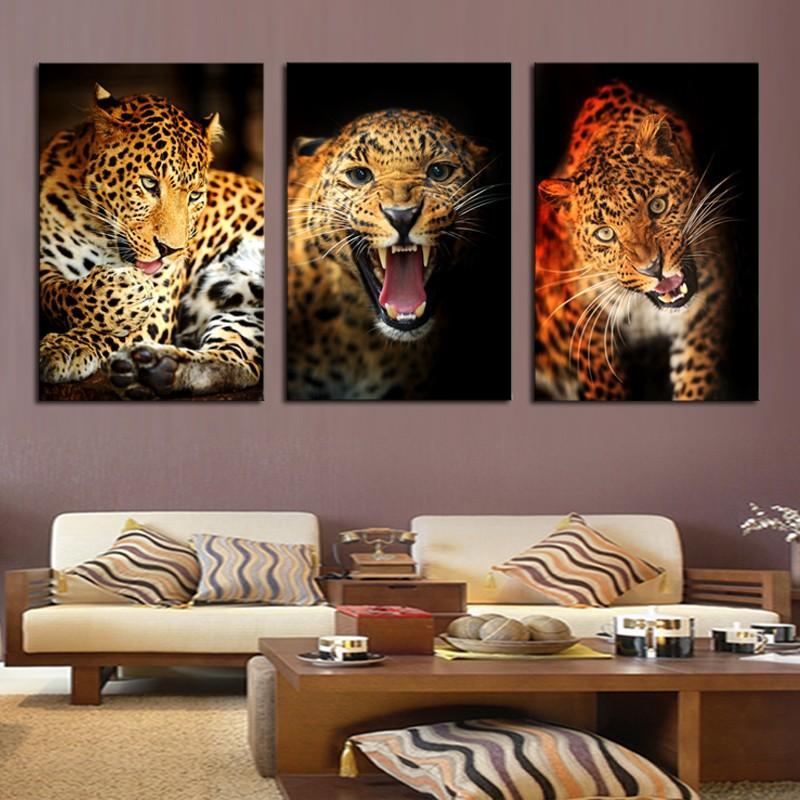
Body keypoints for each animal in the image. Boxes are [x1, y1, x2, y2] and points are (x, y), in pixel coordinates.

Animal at [39, 83, 264, 399]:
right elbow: (58, 294)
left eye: (195, 195)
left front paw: (68, 346)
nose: (171, 250)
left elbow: (105, 331)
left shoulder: (160, 307)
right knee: (238, 361)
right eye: (148, 184)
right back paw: (156, 370)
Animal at [535, 81, 734, 401]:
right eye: (605, 233)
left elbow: (697, 379)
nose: (653, 268)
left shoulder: (709, 302)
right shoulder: (587, 322)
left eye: (657, 206)